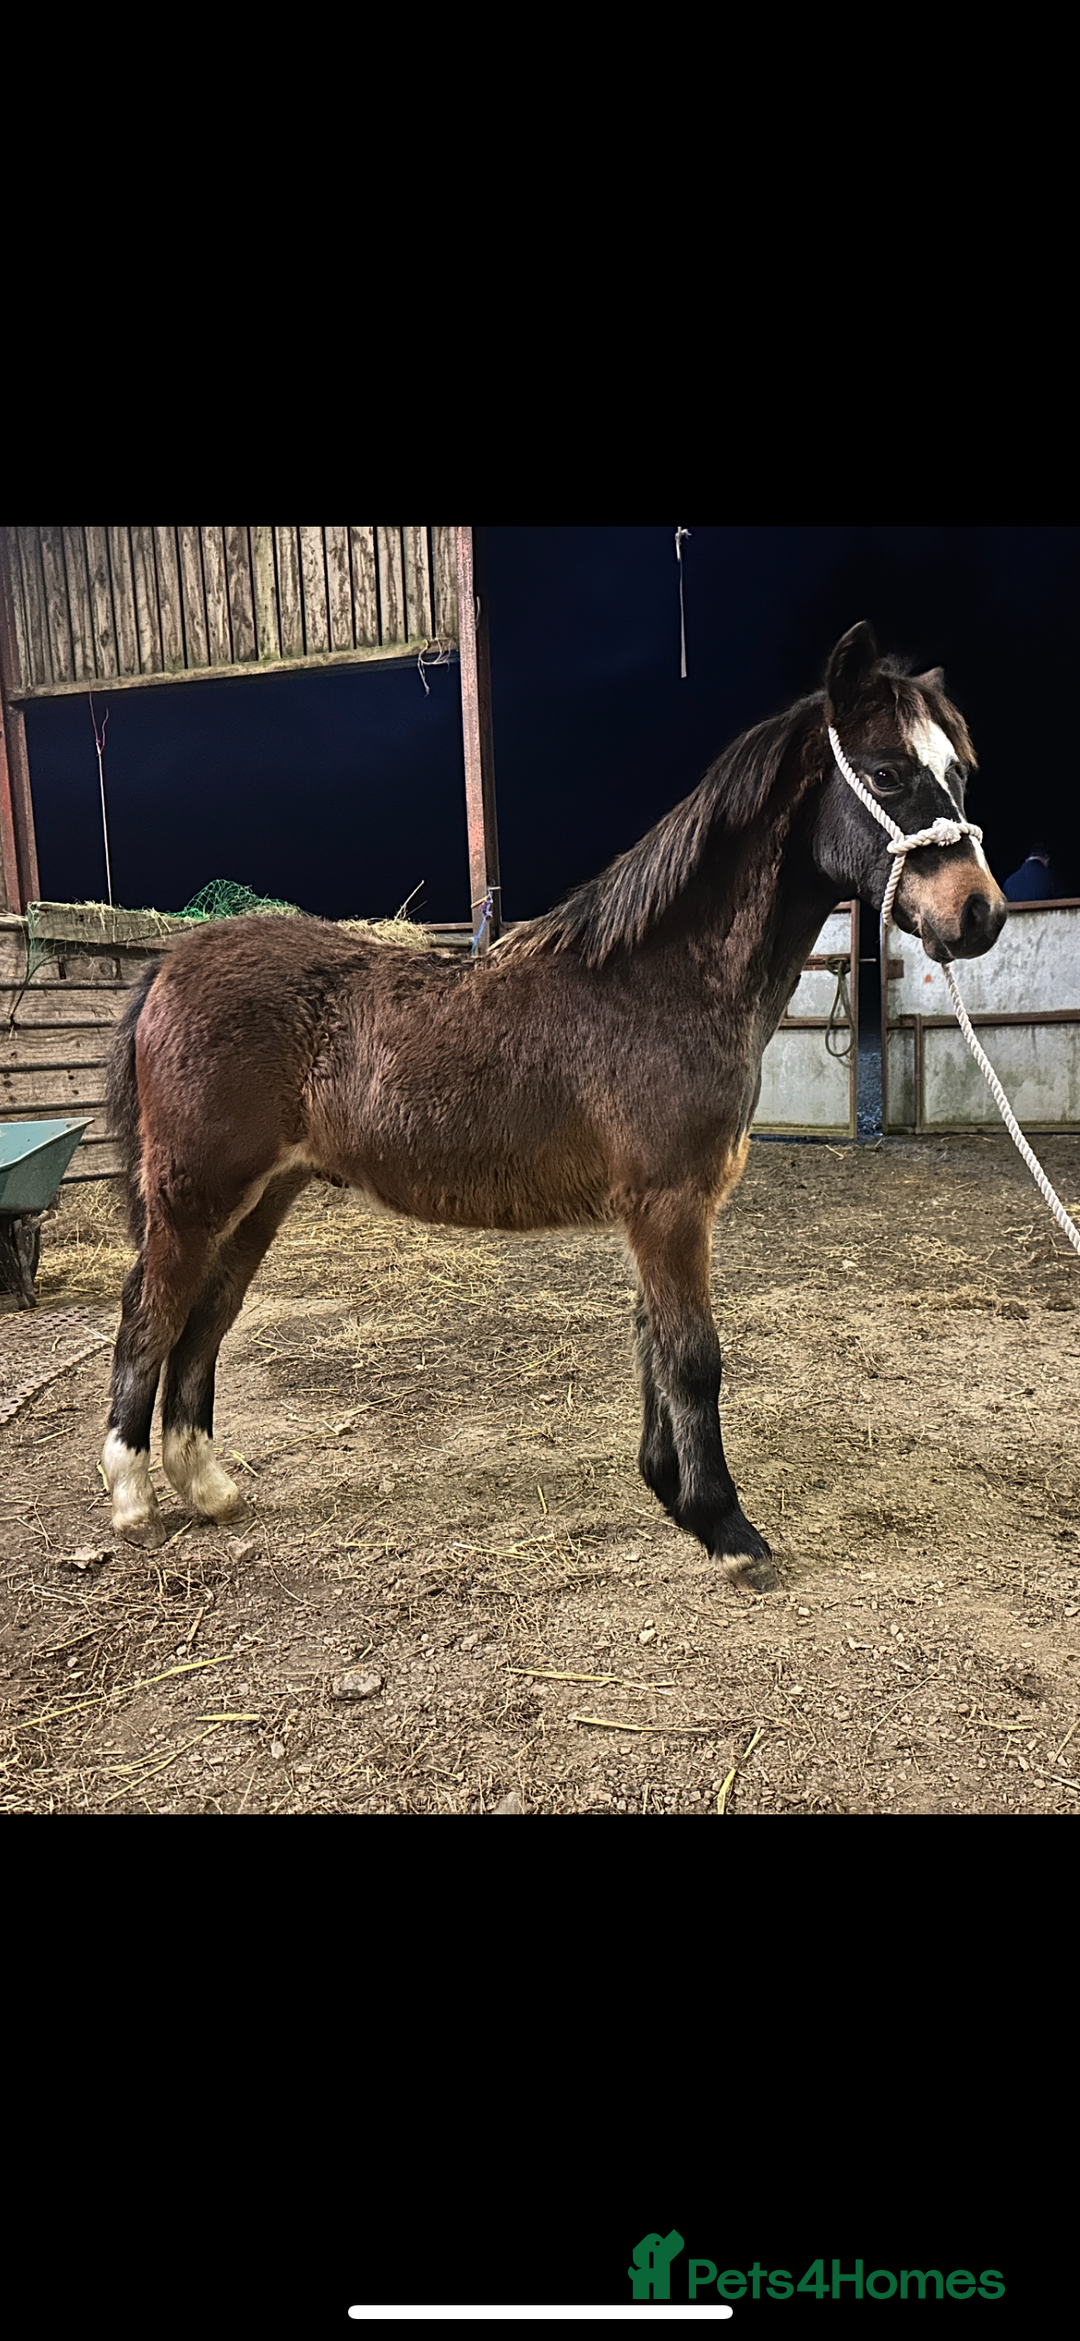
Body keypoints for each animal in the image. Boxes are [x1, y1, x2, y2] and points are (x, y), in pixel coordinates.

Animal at [101, 620, 1007, 1577]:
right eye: (886, 773)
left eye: (958, 771)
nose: (980, 914)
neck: (660, 982)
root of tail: (168, 966)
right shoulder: (670, 1204)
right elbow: (693, 1356)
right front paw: (727, 1528)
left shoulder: (658, 1211)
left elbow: (652, 1342)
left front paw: (672, 1495)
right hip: (194, 1197)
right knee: (148, 1317)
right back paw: (133, 1502)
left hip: (260, 1199)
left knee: (205, 1320)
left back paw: (208, 1489)